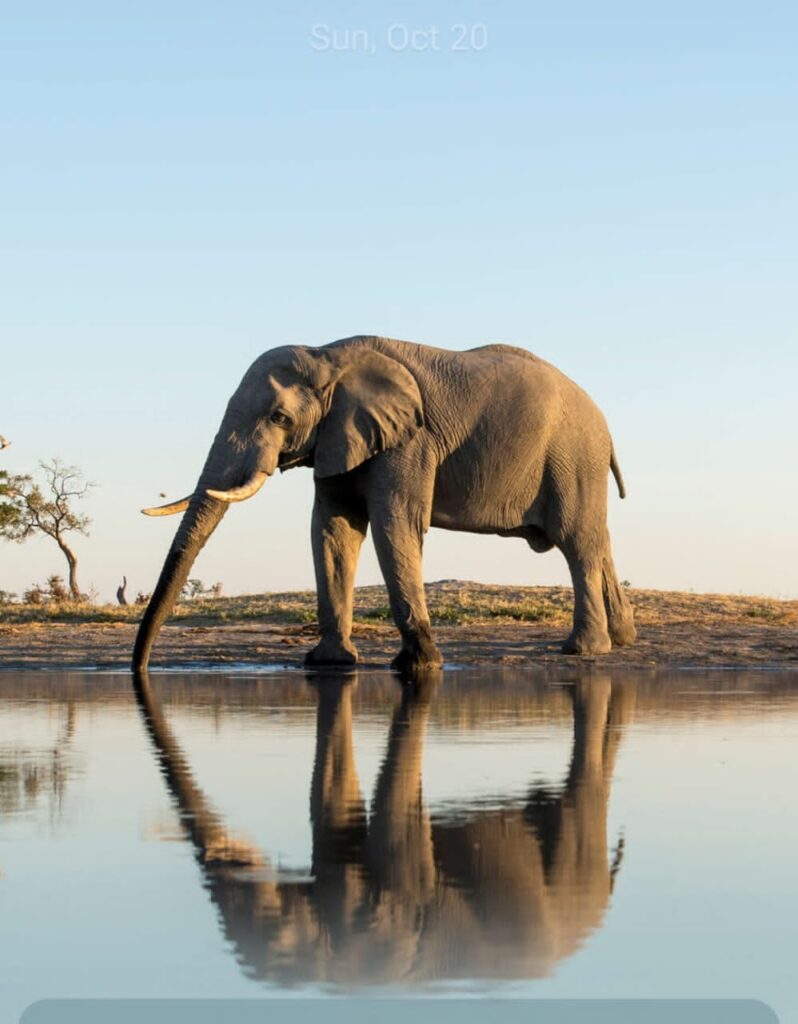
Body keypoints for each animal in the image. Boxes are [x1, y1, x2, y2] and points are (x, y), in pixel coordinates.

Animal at [133, 336, 635, 671]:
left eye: (279, 417)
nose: (139, 670)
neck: (328, 355)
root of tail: (605, 424)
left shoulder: (409, 442)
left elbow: (395, 523)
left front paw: (419, 665)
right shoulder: (337, 441)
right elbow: (333, 530)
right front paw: (329, 663)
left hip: (572, 457)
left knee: (577, 543)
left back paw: (584, 649)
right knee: (598, 540)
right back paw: (624, 638)